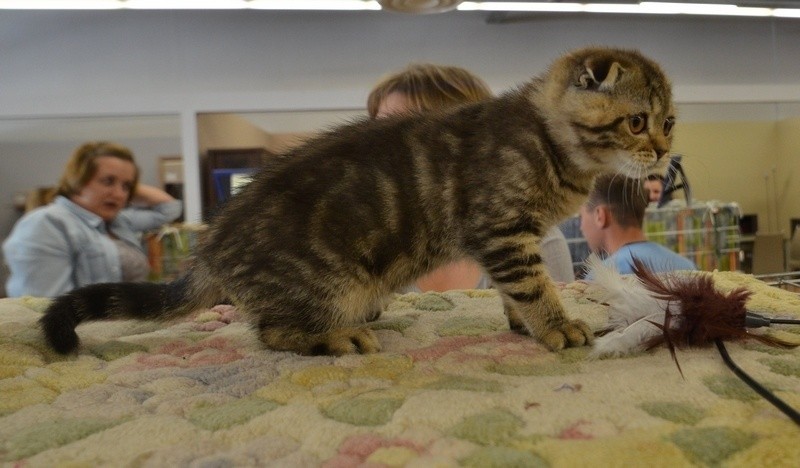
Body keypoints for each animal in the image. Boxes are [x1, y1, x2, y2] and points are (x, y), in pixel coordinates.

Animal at [39, 46, 676, 354]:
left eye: (669, 121)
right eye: (636, 121)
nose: (665, 151)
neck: (554, 146)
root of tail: (212, 248)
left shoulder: (511, 239)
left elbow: (518, 288)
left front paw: (525, 324)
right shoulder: (500, 230)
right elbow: (532, 286)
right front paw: (555, 327)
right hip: (328, 282)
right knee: (271, 332)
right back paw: (333, 337)